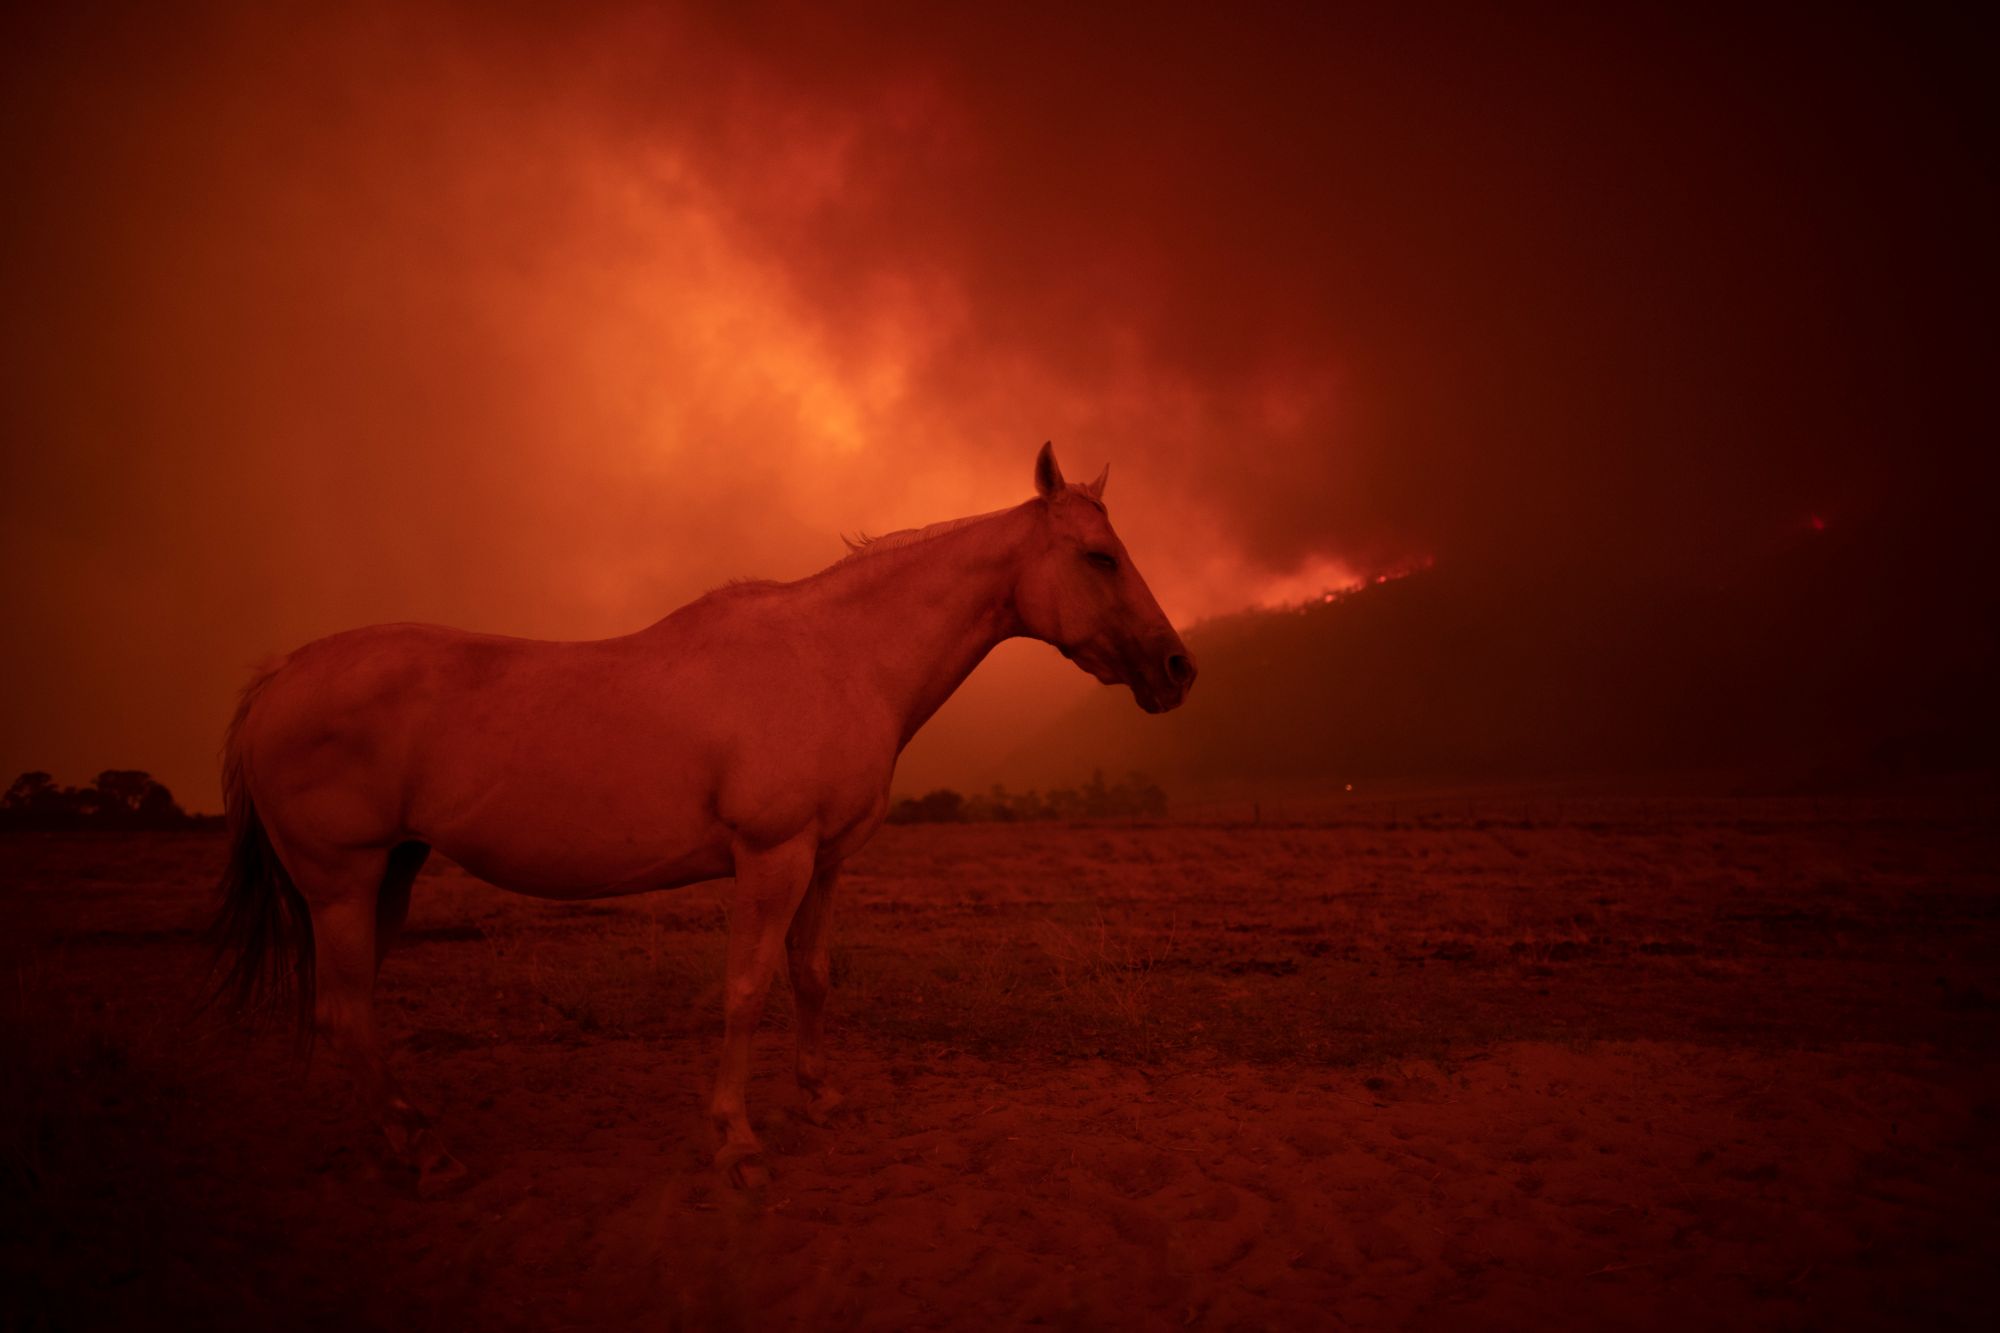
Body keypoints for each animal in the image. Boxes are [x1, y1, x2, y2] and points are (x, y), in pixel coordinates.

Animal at [215, 440, 1200, 1184]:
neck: (836, 656)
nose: (1178, 668)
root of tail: (279, 678)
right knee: (346, 1013)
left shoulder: (824, 860)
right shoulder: (773, 856)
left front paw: (821, 1098)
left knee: (349, 1010)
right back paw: (420, 1151)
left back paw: (404, 1128)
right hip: (343, 884)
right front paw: (737, 1141)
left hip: (392, 874)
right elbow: (745, 988)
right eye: (1100, 556)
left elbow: (811, 976)